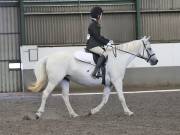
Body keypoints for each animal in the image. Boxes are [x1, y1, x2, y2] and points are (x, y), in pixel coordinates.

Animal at [28, 36, 158, 118]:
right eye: (149, 48)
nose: (155, 61)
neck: (119, 57)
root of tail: (49, 57)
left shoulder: (109, 84)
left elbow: (104, 100)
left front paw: (92, 112)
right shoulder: (117, 81)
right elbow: (121, 97)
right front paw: (129, 112)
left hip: (65, 79)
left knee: (65, 96)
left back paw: (73, 114)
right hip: (55, 80)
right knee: (45, 94)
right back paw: (38, 114)